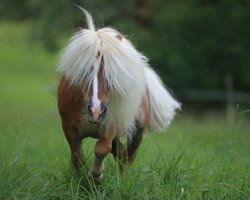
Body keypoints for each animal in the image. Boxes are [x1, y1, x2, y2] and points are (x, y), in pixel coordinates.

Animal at [57, 8, 181, 181]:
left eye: (111, 73)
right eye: (84, 70)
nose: (96, 111)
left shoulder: (110, 127)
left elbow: (101, 149)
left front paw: (96, 175)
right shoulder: (68, 128)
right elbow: (77, 158)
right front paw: (84, 179)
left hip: (137, 132)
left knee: (128, 157)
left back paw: (122, 181)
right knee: (121, 154)